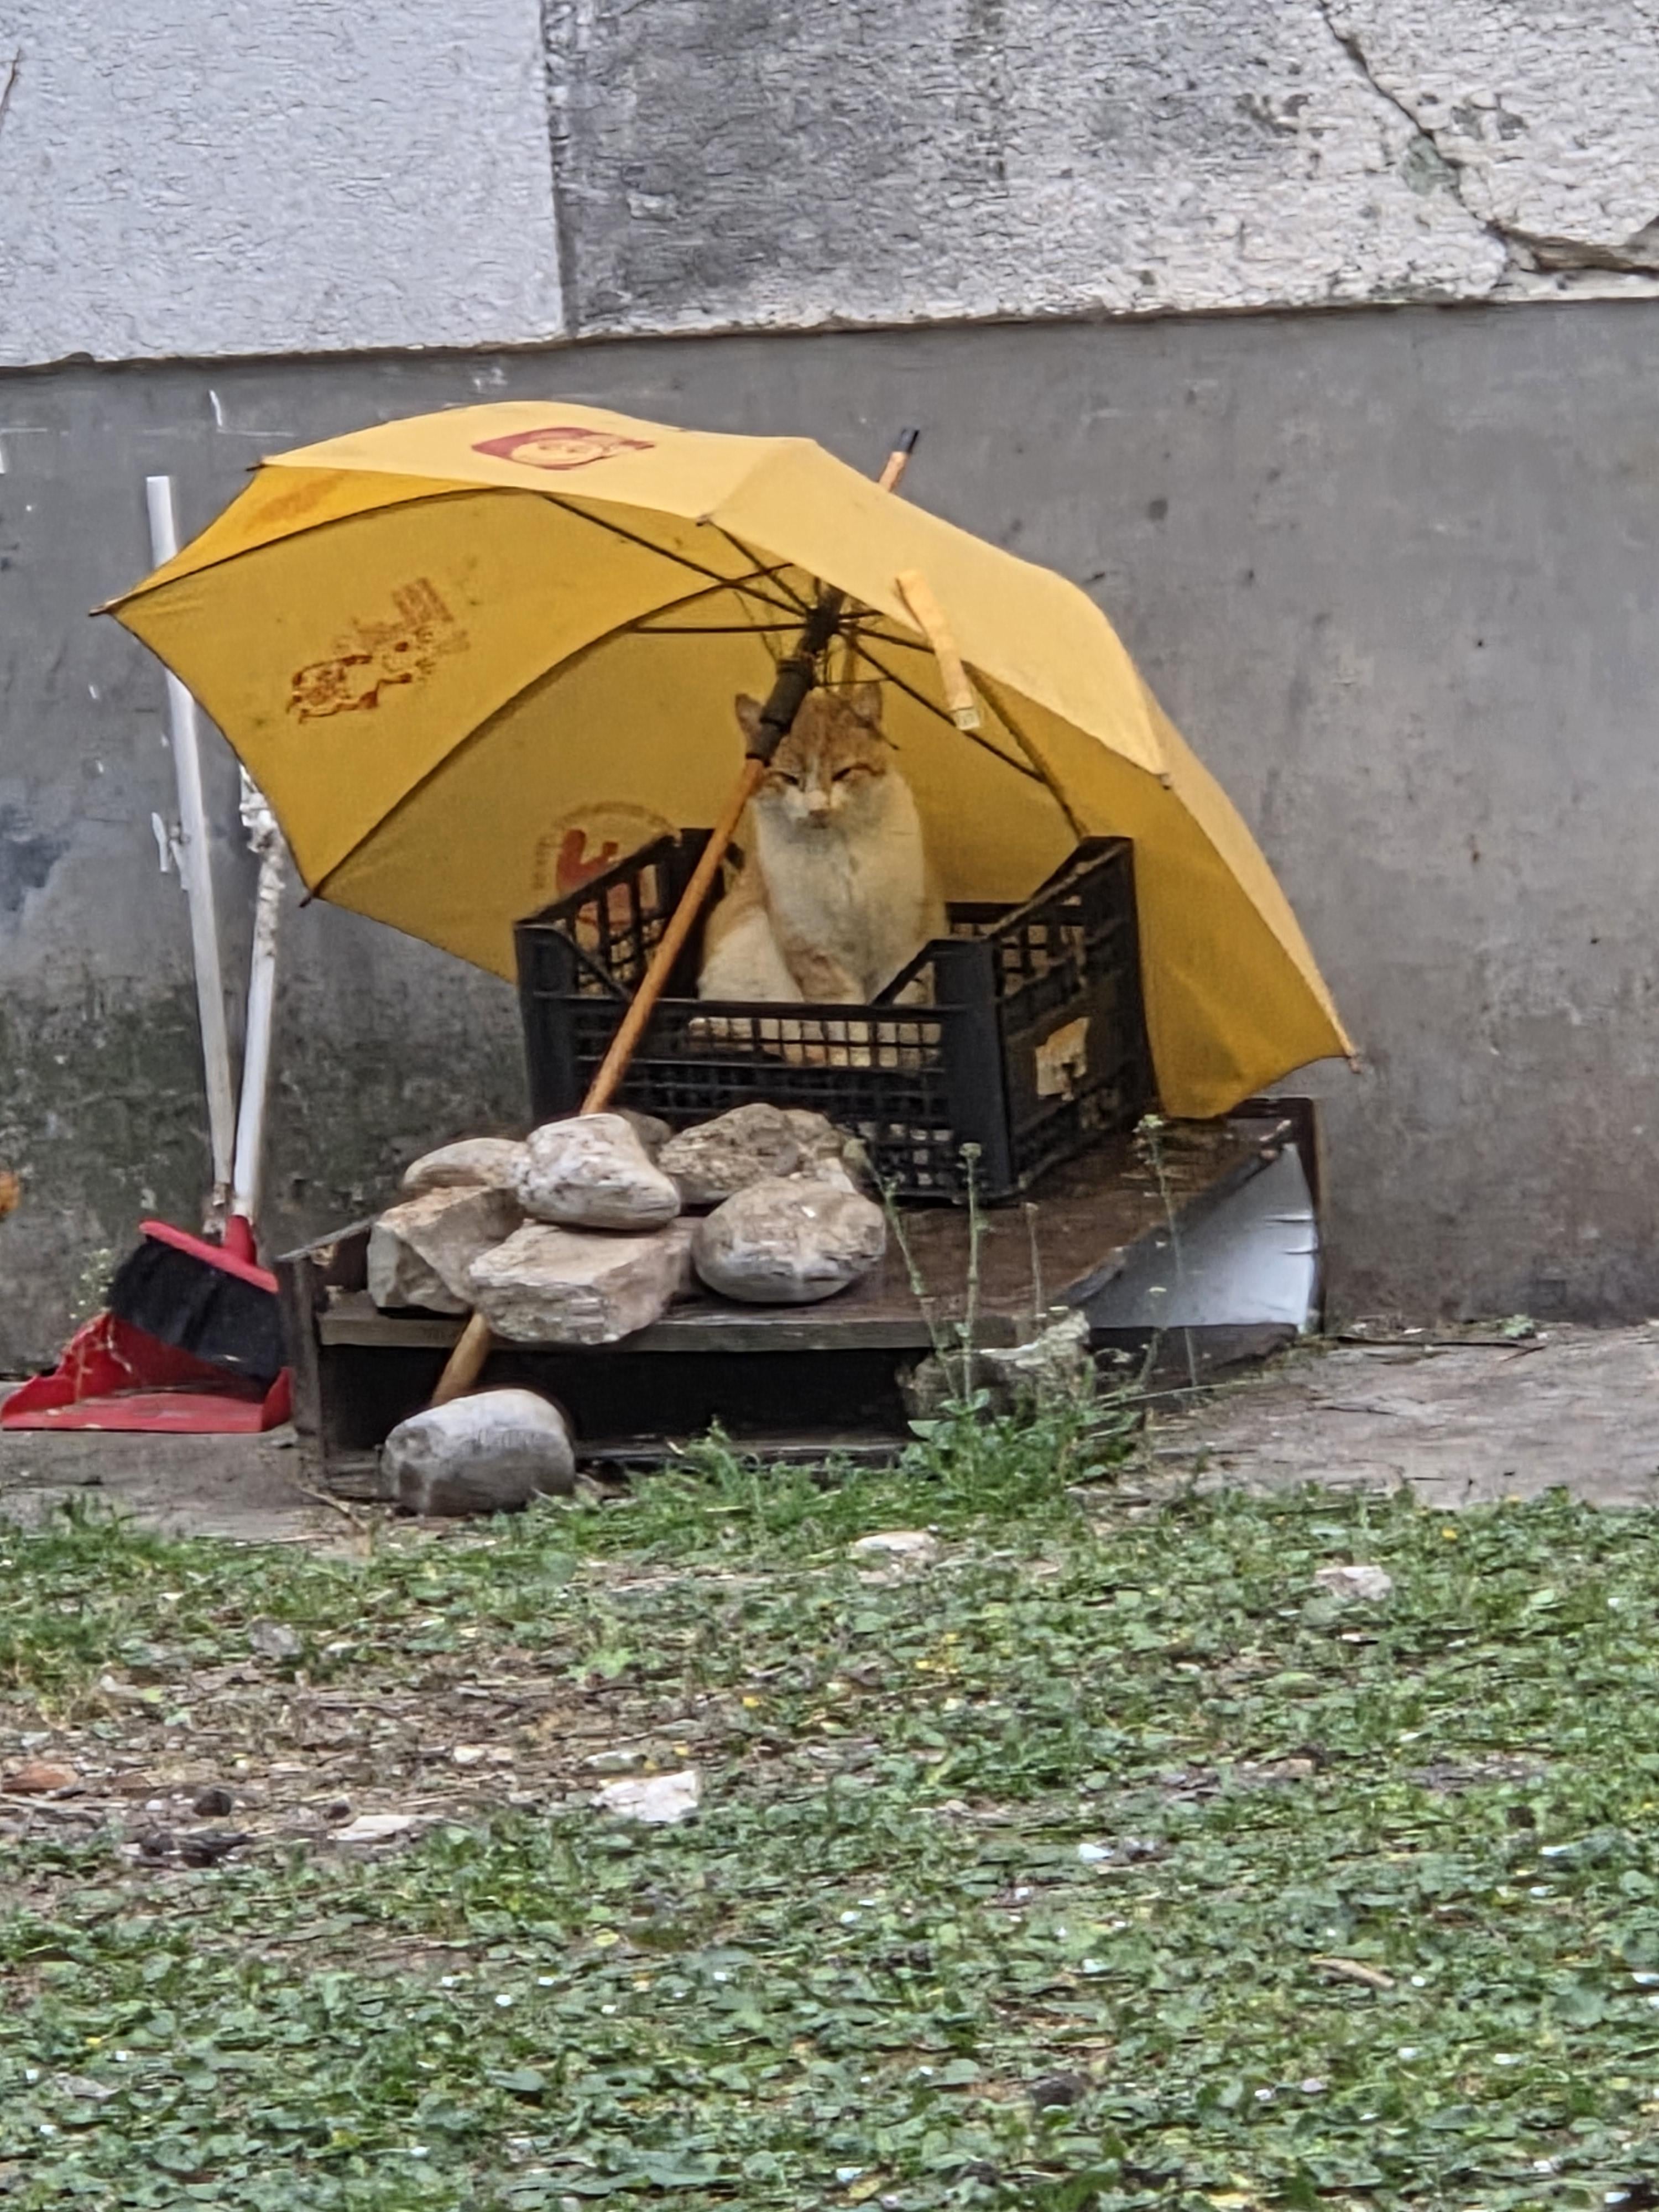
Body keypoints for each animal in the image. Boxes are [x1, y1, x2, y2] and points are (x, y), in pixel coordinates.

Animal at [697, 684, 945, 1015]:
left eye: (843, 772)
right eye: (789, 778)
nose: (817, 809)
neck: (839, 856)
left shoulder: (902, 945)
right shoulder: (814, 951)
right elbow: (843, 1017)